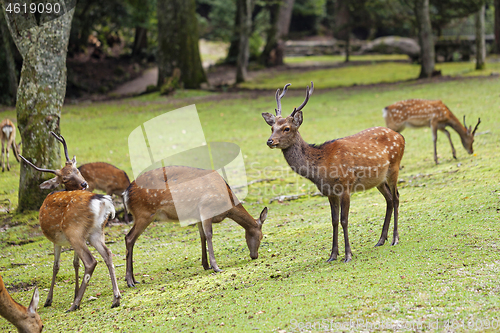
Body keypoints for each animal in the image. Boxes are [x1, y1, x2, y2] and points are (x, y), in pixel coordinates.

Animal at [19, 132, 122, 312]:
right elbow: (75, 263)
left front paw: (49, 300)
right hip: (95, 232)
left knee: (90, 261)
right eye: (65, 178)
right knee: (108, 254)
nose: (84, 183)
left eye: (77, 170)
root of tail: (102, 200)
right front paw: (74, 293)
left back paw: (75, 304)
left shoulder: (56, 240)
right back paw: (115, 298)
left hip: (74, 231)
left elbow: (56, 266)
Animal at [123, 165, 268, 286]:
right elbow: (209, 235)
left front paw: (206, 265)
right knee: (129, 237)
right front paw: (216, 267)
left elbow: (202, 236)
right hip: (144, 213)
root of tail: (126, 194)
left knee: (131, 239)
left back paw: (134, 279)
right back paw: (129, 281)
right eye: (261, 236)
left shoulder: (198, 215)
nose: (255, 256)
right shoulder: (206, 208)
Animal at [262, 82, 406, 262]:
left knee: (396, 197)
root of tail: (401, 137)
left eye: (286, 128)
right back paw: (381, 239)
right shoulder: (329, 192)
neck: (321, 167)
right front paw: (333, 255)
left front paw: (348, 255)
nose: (270, 141)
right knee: (389, 199)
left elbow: (344, 220)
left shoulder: (345, 186)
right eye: (272, 127)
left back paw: (395, 238)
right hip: (379, 179)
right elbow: (334, 221)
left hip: (394, 167)